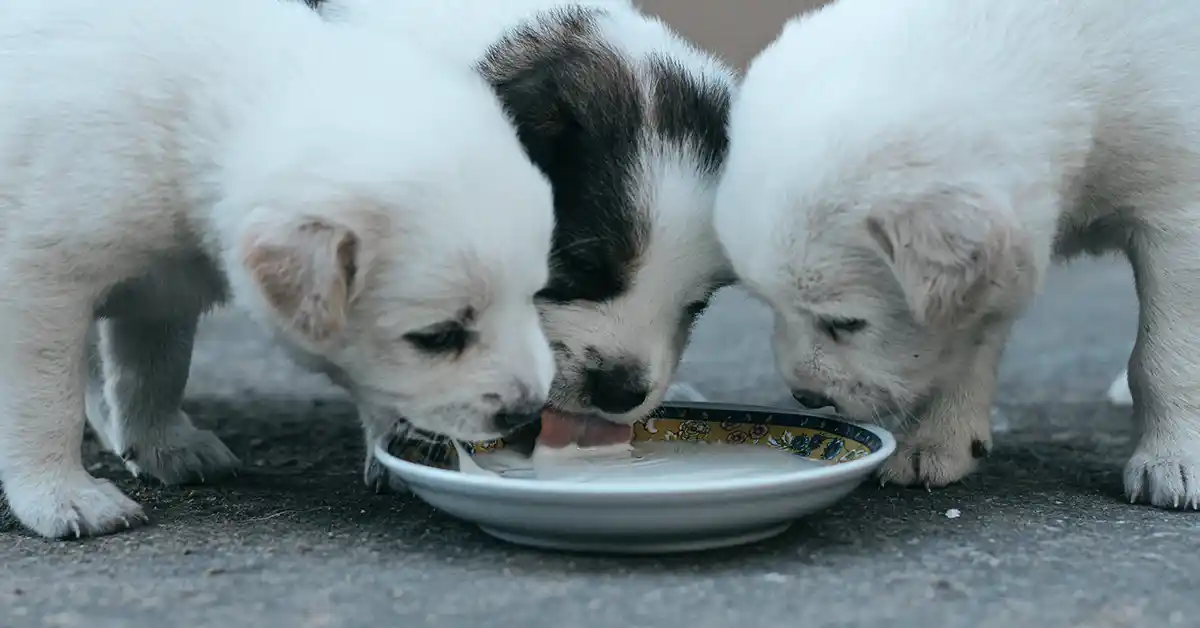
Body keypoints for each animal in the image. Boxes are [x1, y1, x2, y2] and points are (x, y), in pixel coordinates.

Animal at [0, 0, 552, 540]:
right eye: (437, 337)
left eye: (533, 298)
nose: (527, 414)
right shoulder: (37, 282)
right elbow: (46, 402)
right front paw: (61, 494)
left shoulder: (164, 287)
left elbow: (153, 371)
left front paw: (165, 444)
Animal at [715, 0, 1200, 511]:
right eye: (770, 308)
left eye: (847, 323)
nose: (807, 399)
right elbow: (960, 342)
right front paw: (936, 440)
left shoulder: (1179, 219)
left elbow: (1166, 357)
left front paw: (1174, 457)